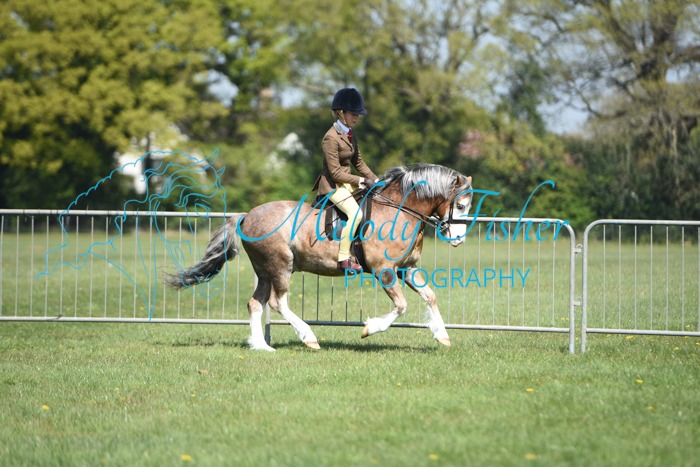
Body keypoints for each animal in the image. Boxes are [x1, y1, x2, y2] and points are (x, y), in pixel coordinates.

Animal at [167, 164, 473, 351]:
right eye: (460, 205)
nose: (458, 239)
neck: (398, 209)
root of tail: (246, 216)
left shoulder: (407, 268)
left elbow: (430, 296)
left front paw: (442, 334)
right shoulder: (383, 269)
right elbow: (401, 306)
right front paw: (369, 329)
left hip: (265, 270)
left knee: (255, 303)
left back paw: (262, 346)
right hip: (281, 265)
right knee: (278, 302)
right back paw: (309, 338)